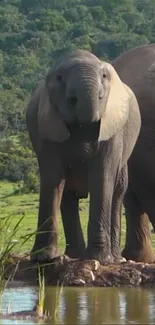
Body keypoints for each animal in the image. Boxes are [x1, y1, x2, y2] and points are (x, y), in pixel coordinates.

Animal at [25, 50, 140, 264]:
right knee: (68, 195)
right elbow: (53, 177)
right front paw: (43, 259)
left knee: (117, 192)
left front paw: (100, 259)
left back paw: (115, 258)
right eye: (59, 78)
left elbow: (102, 177)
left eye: (104, 76)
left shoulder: (113, 130)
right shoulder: (45, 123)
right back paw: (74, 256)